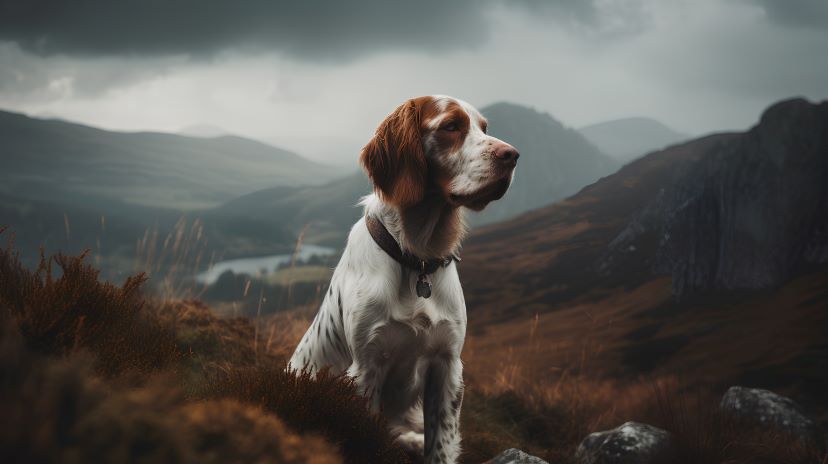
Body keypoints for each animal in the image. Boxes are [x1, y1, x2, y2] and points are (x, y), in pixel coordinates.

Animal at [290, 95, 516, 464]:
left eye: (484, 128)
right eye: (451, 126)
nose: (512, 155)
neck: (416, 258)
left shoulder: (447, 365)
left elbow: (441, 443)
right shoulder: (367, 366)